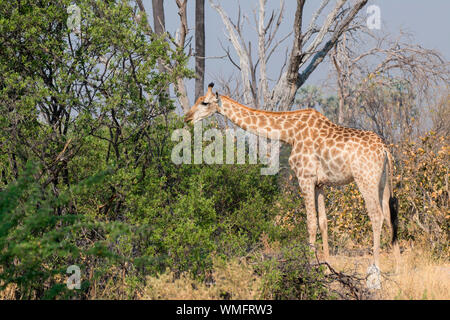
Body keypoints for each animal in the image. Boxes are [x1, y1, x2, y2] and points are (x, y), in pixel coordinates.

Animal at [185, 83, 400, 270]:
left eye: (205, 103)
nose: (186, 118)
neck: (289, 133)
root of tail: (384, 150)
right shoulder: (319, 183)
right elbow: (323, 222)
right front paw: (327, 267)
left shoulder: (305, 177)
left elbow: (310, 223)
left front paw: (311, 267)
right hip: (383, 183)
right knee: (390, 216)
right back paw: (397, 267)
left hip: (365, 180)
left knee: (376, 216)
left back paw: (376, 267)